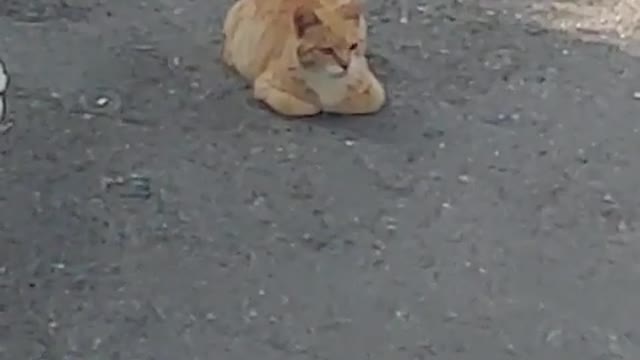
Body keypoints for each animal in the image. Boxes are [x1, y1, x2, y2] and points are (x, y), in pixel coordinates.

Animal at [221, 0, 384, 116]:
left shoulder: (376, 93)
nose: (345, 65)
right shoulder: (263, 85)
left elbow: (359, 102)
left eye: (353, 46)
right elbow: (297, 106)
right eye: (327, 50)